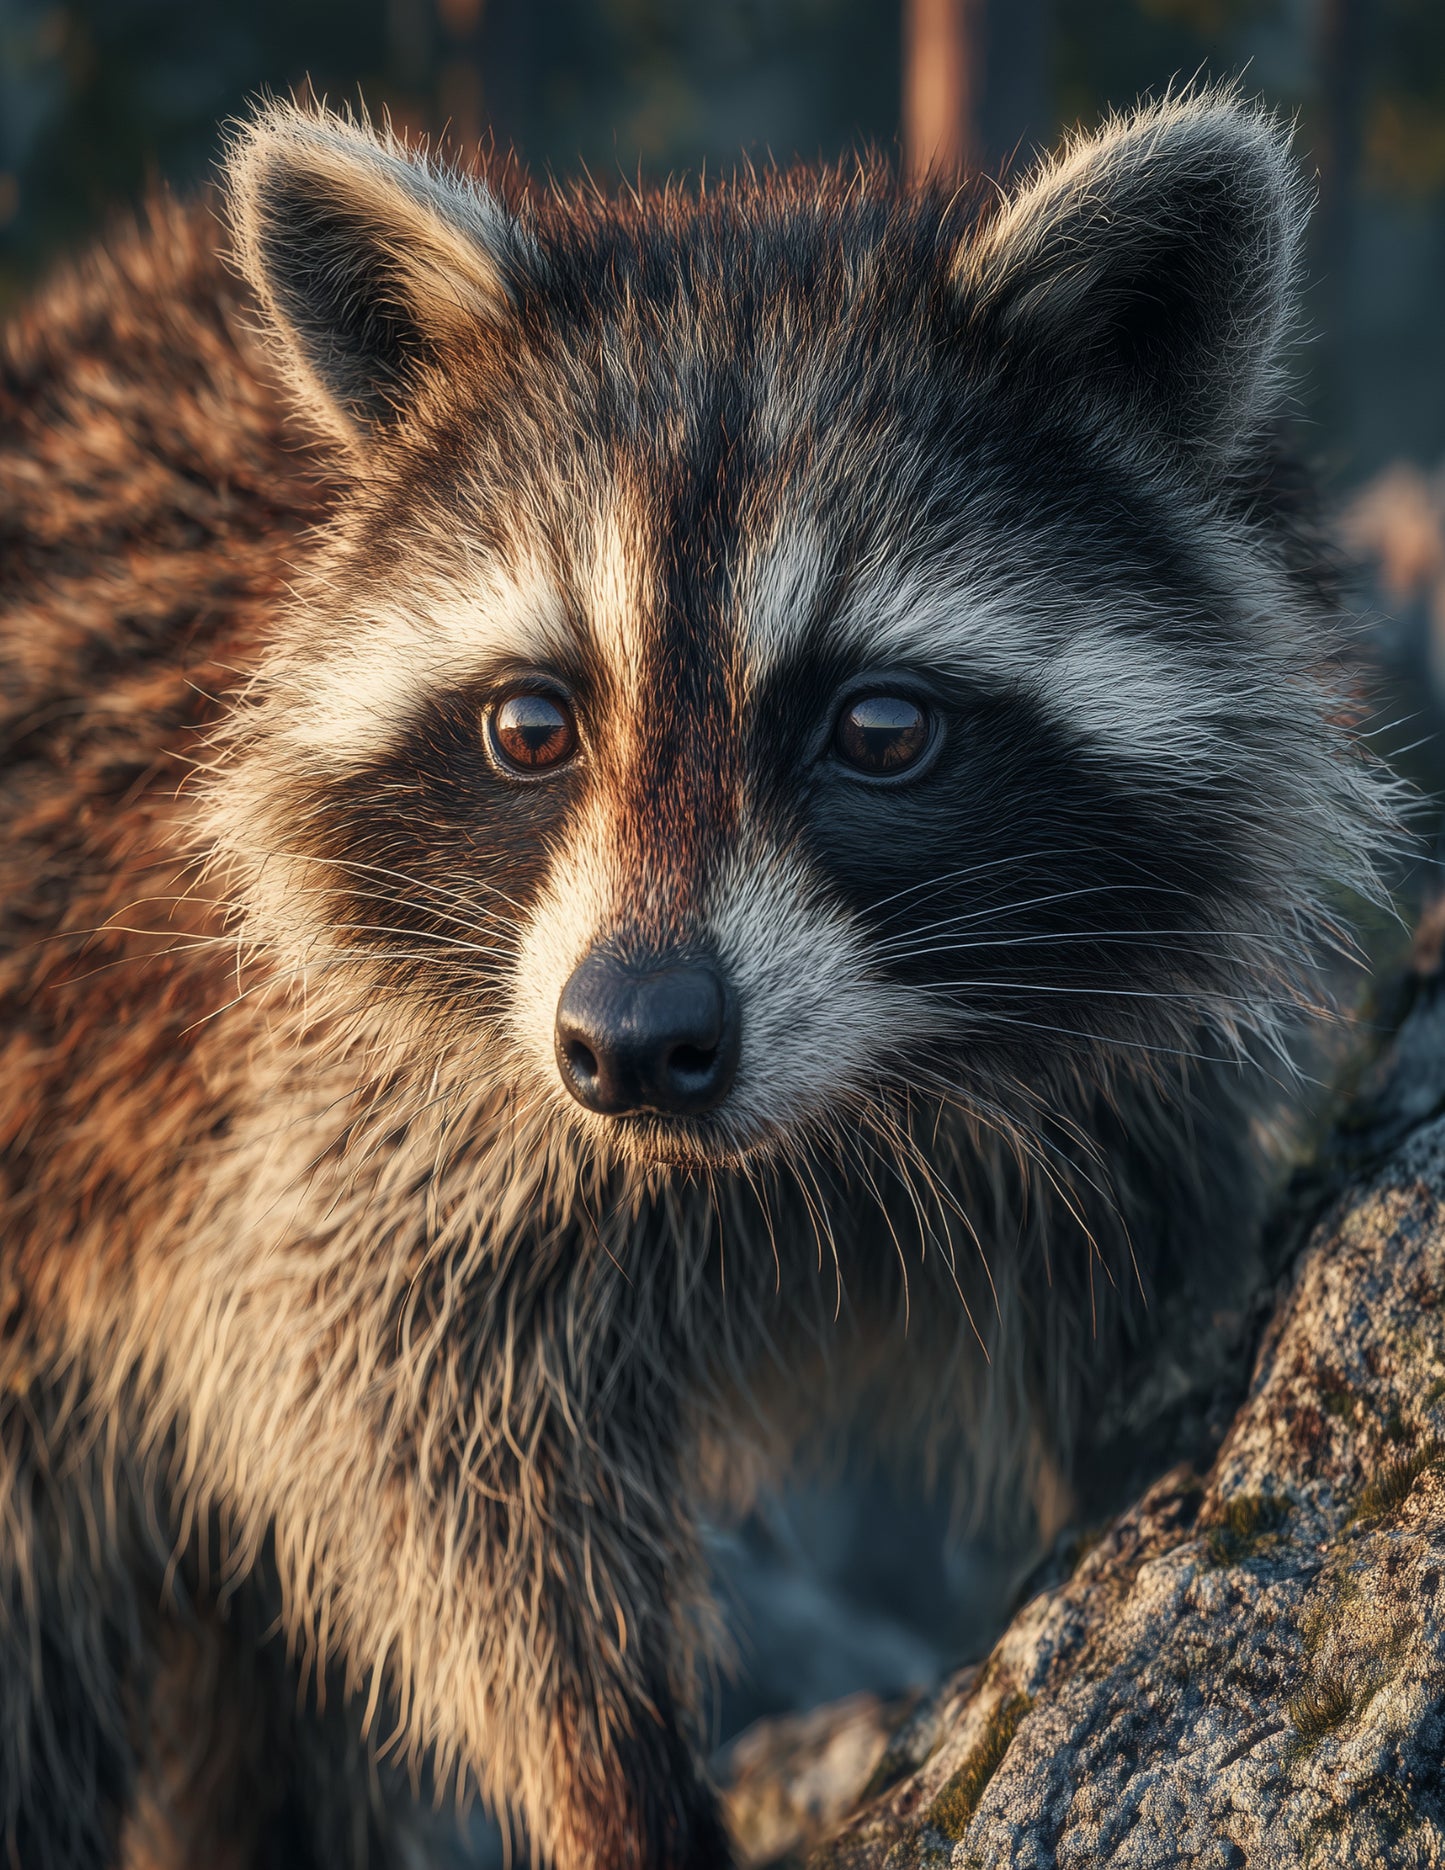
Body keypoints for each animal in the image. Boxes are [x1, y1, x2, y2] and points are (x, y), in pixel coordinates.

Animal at [0, 86, 1395, 1869]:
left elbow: (1127, 1306)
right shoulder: (324, 1105)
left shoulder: (1126, 1096)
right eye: (533, 723)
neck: (818, 1128)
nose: (632, 1041)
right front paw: (605, 1757)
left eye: (880, 727)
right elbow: (401, 1428)